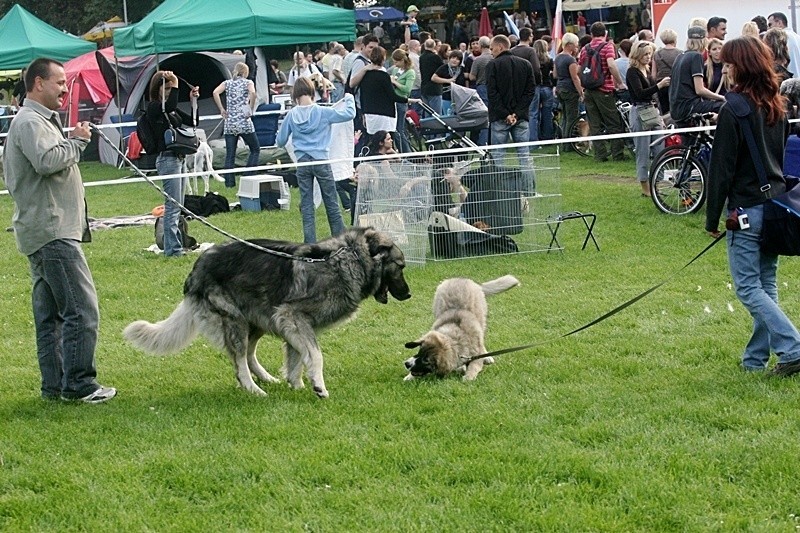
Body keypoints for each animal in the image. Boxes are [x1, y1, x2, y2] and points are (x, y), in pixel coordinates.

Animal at [126, 227, 412, 396]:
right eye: (400, 266)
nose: (409, 294)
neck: (345, 260)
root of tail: (196, 269)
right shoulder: (293, 317)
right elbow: (315, 355)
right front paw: (318, 386)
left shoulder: (291, 324)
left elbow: (296, 359)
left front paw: (297, 385)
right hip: (237, 322)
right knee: (239, 360)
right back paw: (253, 389)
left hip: (258, 321)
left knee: (248, 354)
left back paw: (266, 379)